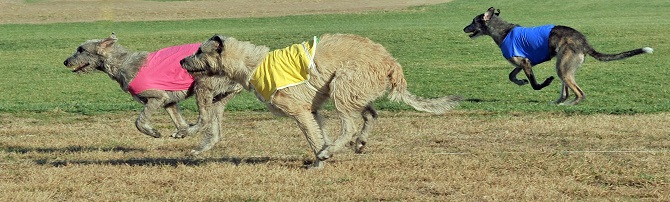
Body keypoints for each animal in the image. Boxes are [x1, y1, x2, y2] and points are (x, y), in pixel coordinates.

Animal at [63, 33, 242, 139]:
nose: (65, 62)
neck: (122, 63)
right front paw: (182, 131)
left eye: (81, 50)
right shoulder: (169, 102)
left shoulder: (157, 97)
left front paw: (153, 132)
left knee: (205, 118)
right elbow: (178, 119)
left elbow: (139, 121)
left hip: (203, 84)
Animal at [178, 34, 462, 168]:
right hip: (357, 89)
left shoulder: (300, 110)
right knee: (370, 114)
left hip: (344, 82)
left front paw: (320, 160)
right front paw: (323, 154)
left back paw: (337, 147)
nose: (181, 61)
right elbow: (320, 131)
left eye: (199, 51)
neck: (253, 64)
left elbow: (314, 138)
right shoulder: (313, 110)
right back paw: (360, 142)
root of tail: (391, 62)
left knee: (349, 124)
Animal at [464, 6, 652, 104]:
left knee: (579, 93)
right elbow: (511, 75)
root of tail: (584, 43)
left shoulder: (525, 62)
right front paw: (521, 81)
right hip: (563, 67)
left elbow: (535, 85)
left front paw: (544, 82)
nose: (464, 28)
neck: (503, 31)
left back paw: (570, 104)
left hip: (562, 67)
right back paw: (558, 102)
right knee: (567, 92)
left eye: (473, 21)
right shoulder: (523, 62)